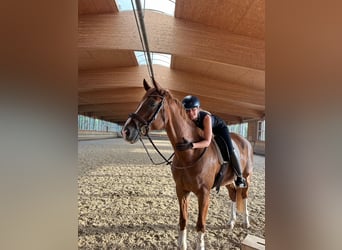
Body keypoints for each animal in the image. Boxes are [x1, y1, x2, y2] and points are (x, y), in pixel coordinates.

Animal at [121, 79, 252, 249]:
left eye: (151, 103)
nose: (126, 131)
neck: (190, 155)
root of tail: (245, 141)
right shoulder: (181, 191)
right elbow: (183, 220)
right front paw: (181, 244)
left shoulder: (204, 194)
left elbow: (200, 224)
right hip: (228, 181)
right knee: (233, 195)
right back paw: (231, 222)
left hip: (246, 178)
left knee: (244, 194)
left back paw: (246, 222)